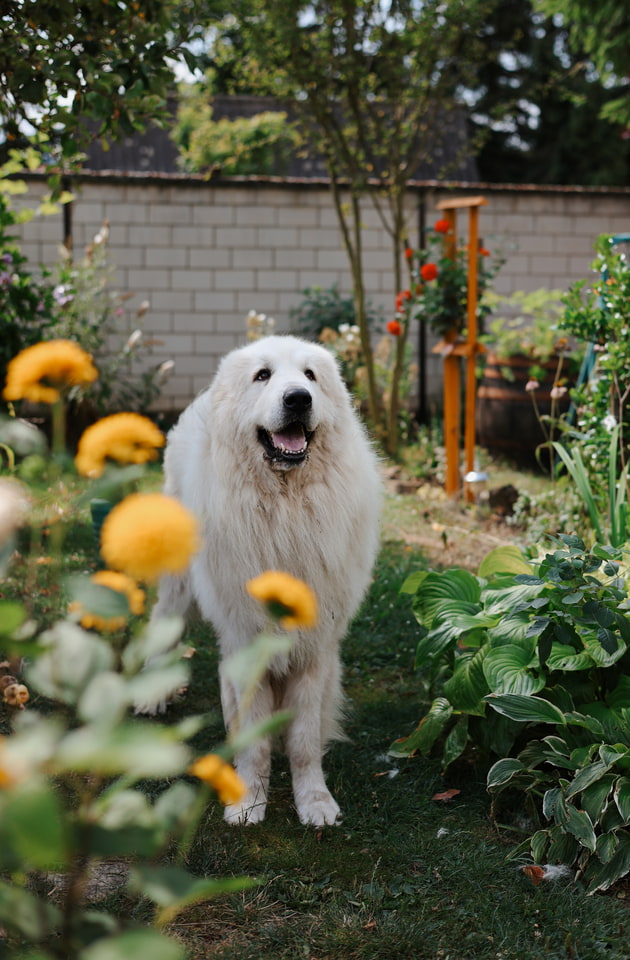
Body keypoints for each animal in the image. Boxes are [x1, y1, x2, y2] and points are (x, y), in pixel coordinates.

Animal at [154, 334, 382, 820]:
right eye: (263, 375)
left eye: (311, 376)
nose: (298, 398)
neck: (284, 507)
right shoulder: (247, 642)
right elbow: (254, 740)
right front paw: (248, 802)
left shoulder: (314, 649)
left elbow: (304, 742)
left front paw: (315, 802)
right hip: (179, 582)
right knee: (163, 623)